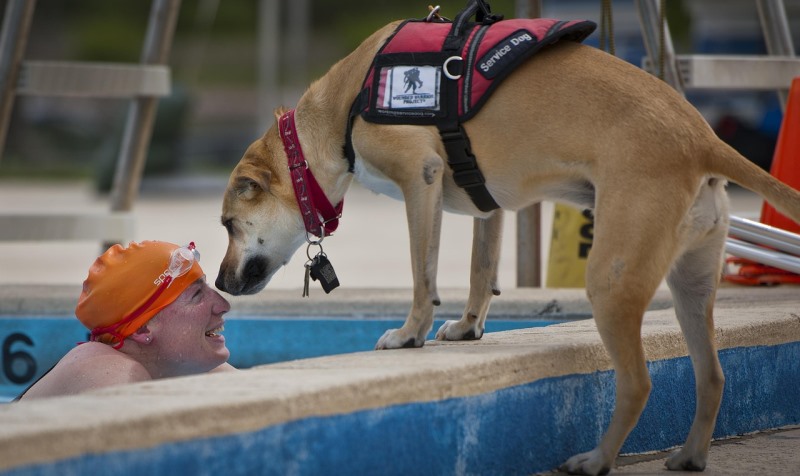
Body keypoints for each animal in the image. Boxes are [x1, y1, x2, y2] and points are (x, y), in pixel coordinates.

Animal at [216, 16, 800, 474]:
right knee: (714, 375)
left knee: (637, 383)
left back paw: (596, 460)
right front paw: (468, 328)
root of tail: (702, 138)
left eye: (226, 224)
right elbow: (481, 271)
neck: (343, 107)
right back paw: (690, 455)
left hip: (611, 281)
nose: (218, 282)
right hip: (691, 285)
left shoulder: (421, 179)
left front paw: (409, 335)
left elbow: (423, 275)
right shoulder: (486, 204)